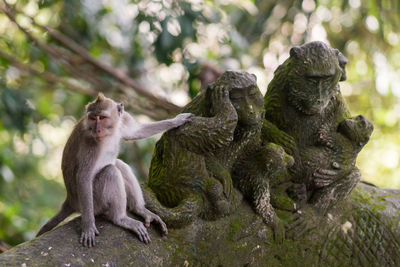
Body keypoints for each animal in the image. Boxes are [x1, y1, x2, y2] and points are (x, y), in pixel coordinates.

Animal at [36, 93, 193, 248]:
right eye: (92, 118)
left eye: (102, 117)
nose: (97, 129)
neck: (109, 132)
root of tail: (70, 200)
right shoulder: (90, 143)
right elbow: (84, 177)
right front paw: (88, 226)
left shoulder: (123, 121)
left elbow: (137, 132)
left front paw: (177, 120)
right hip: (95, 202)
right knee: (110, 171)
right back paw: (120, 218)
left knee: (120, 165)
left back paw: (140, 209)